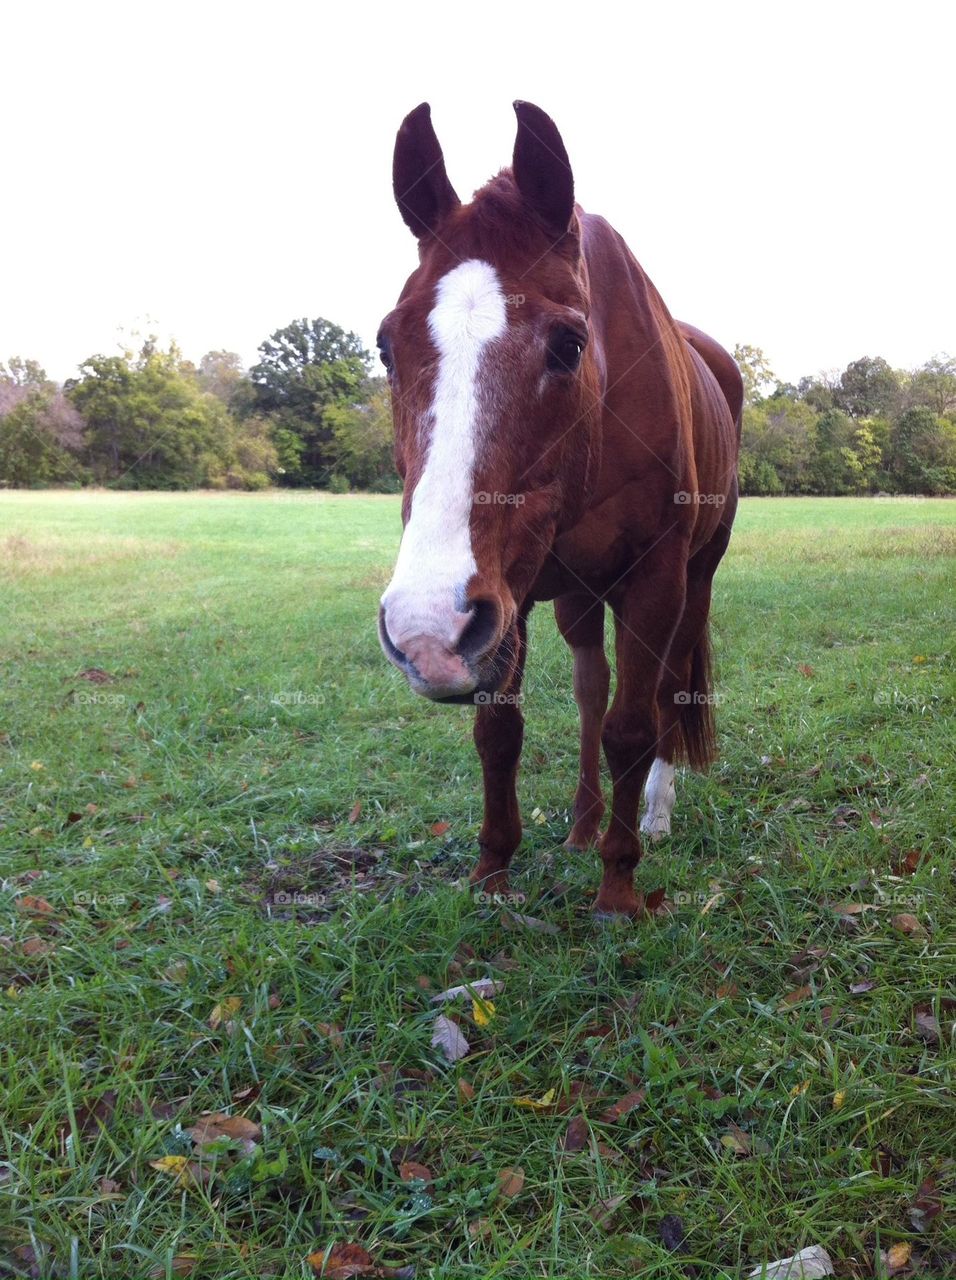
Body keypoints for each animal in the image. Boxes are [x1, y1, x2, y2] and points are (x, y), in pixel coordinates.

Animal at [373, 102, 742, 921]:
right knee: (588, 690)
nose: (425, 631)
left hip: (695, 579)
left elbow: (634, 725)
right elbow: (501, 730)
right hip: (571, 594)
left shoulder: (654, 580)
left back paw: (652, 815)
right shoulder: (506, 597)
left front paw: (619, 886)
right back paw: (580, 824)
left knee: (666, 690)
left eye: (569, 345)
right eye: (386, 346)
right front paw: (492, 870)